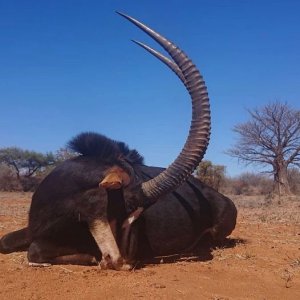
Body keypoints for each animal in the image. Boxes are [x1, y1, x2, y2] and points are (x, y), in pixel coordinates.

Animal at [1, 12, 238, 270]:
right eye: (126, 206)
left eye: (132, 213)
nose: (122, 260)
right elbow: (6, 241)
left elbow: (35, 251)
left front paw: (91, 259)